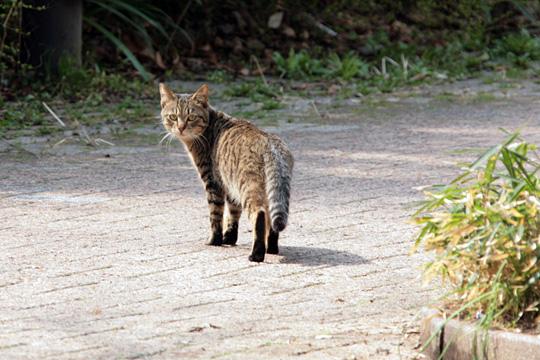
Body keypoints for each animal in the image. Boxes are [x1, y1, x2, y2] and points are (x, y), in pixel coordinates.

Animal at [158, 83, 294, 262]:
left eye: (191, 117)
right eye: (173, 117)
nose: (180, 128)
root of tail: (270, 144)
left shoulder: (213, 182)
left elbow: (215, 215)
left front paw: (214, 240)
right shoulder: (229, 185)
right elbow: (233, 213)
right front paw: (229, 238)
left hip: (248, 187)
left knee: (259, 215)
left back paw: (257, 254)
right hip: (268, 190)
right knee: (270, 220)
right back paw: (271, 248)